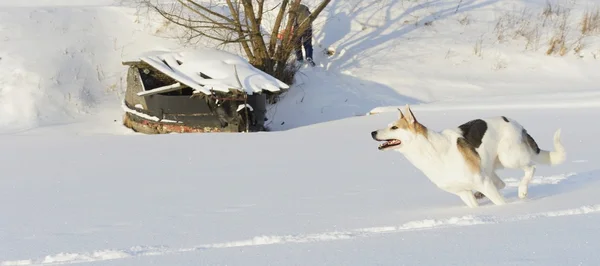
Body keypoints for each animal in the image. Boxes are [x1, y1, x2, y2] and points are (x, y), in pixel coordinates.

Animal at [370, 104, 568, 208]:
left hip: (509, 158)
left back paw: (522, 190)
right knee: (502, 183)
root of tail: (516, 123)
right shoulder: (463, 193)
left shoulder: (483, 182)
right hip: (491, 166)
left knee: (530, 168)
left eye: (394, 127)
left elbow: (500, 202)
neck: (432, 151)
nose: (372, 132)